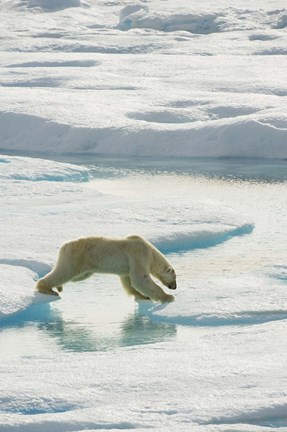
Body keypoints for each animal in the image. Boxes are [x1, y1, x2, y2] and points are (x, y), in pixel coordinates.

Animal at [37, 235, 177, 302]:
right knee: (64, 272)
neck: (151, 253)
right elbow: (141, 279)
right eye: (174, 278)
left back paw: (58, 287)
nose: (174, 287)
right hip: (75, 257)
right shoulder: (138, 256)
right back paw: (47, 288)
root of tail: (63, 246)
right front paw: (168, 297)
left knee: (74, 276)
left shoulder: (128, 266)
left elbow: (129, 282)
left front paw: (142, 296)